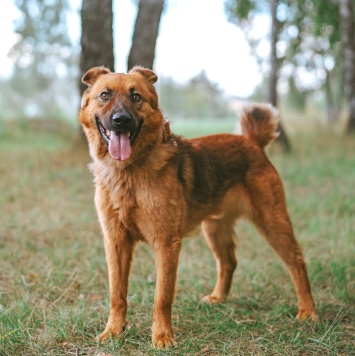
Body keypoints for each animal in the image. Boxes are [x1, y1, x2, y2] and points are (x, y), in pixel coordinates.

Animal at [79, 65, 318, 350]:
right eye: (104, 95)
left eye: (136, 97)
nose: (121, 120)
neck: (129, 173)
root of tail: (251, 141)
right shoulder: (115, 242)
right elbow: (117, 293)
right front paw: (114, 331)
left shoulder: (166, 244)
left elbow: (162, 297)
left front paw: (162, 336)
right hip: (215, 229)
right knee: (228, 262)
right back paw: (218, 298)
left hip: (273, 223)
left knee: (297, 262)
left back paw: (308, 311)